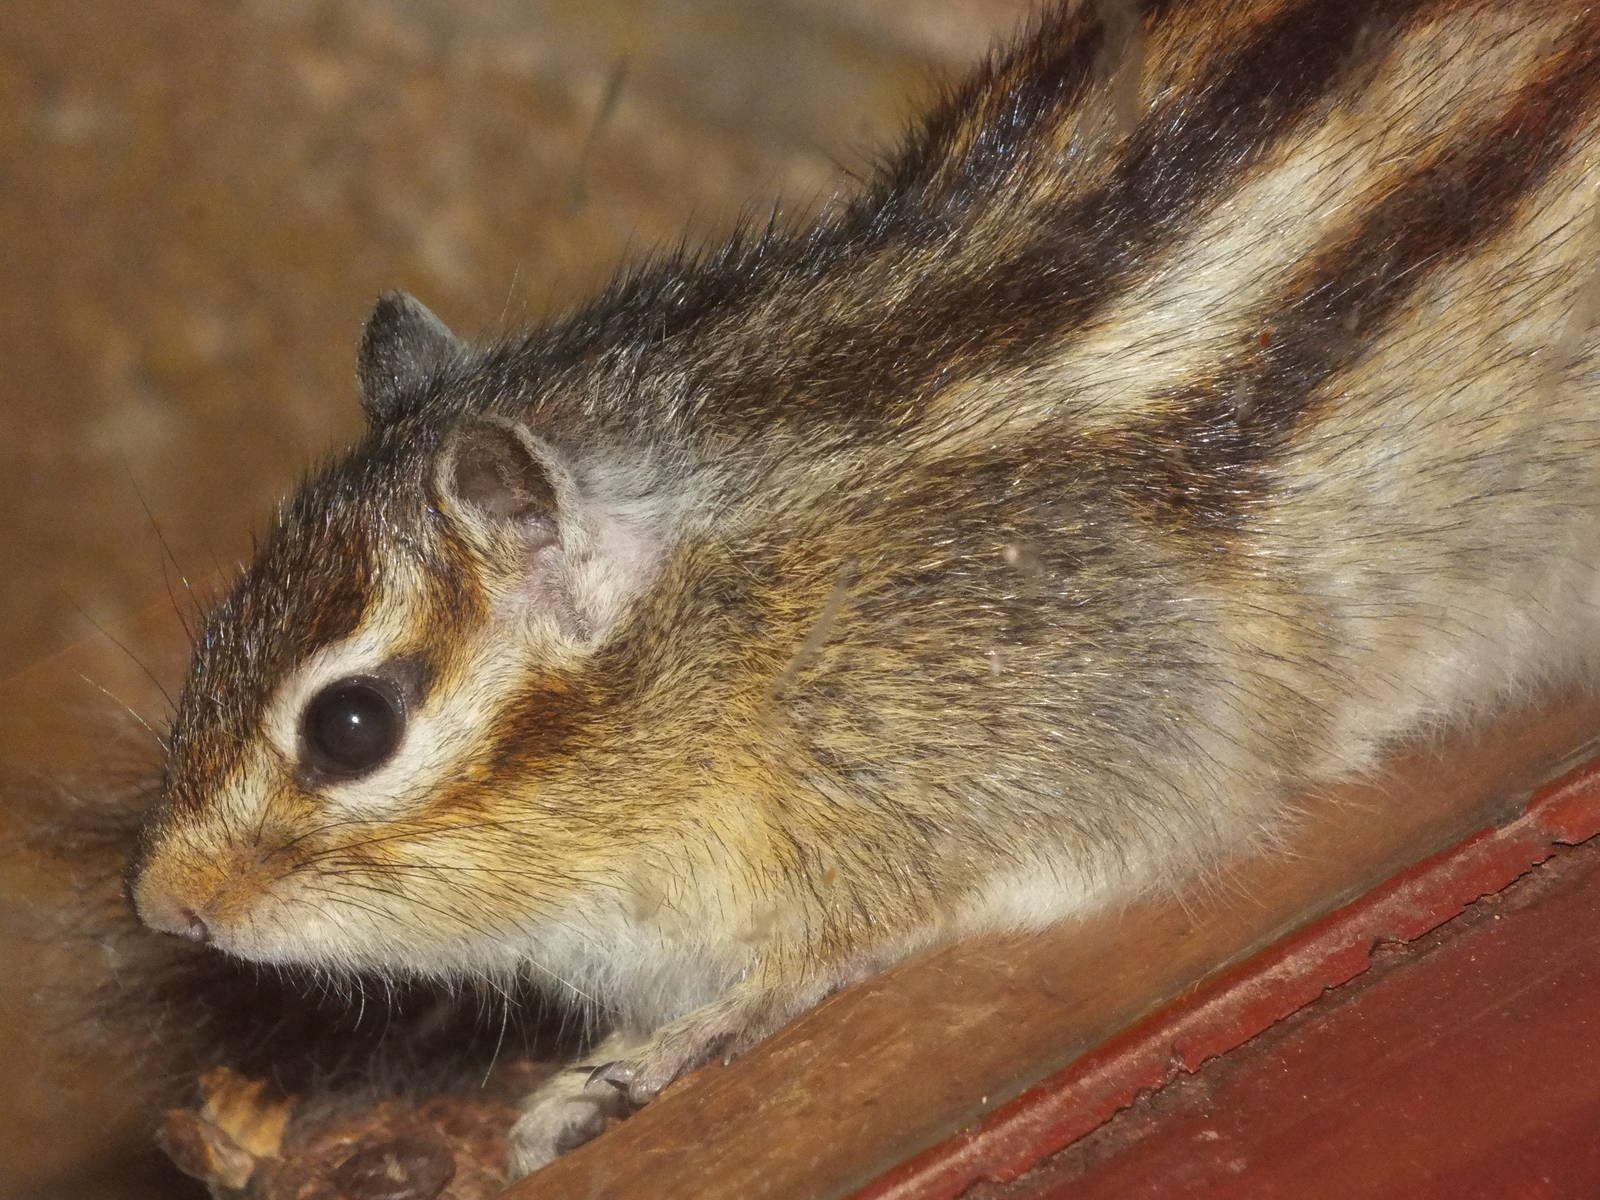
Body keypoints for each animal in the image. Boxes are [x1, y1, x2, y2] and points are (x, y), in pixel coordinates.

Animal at [127, 0, 1600, 1175]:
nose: (166, 903)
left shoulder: (1050, 740)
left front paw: (651, 1055)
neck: (750, 622)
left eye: (352, 727)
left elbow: (862, 937)